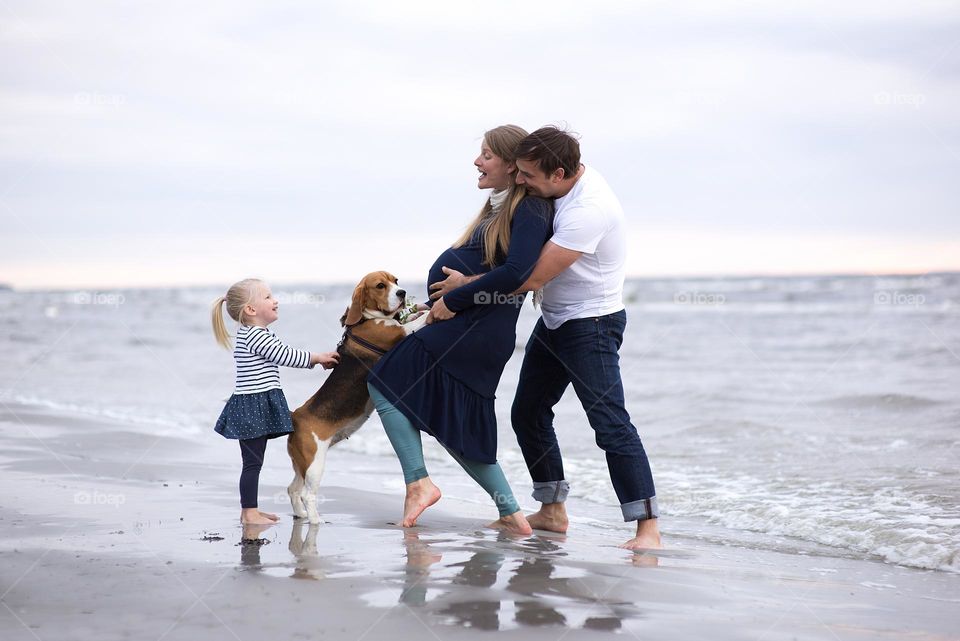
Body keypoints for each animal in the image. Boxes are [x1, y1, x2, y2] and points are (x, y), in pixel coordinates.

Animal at [284, 268, 428, 524]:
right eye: (380, 286)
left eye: (396, 280)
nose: (402, 292)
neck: (366, 319)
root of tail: (295, 417)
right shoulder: (399, 333)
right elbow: (416, 322)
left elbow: (413, 316)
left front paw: (419, 306)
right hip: (315, 464)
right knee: (307, 494)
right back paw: (315, 520)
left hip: (302, 465)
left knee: (293, 489)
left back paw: (301, 516)